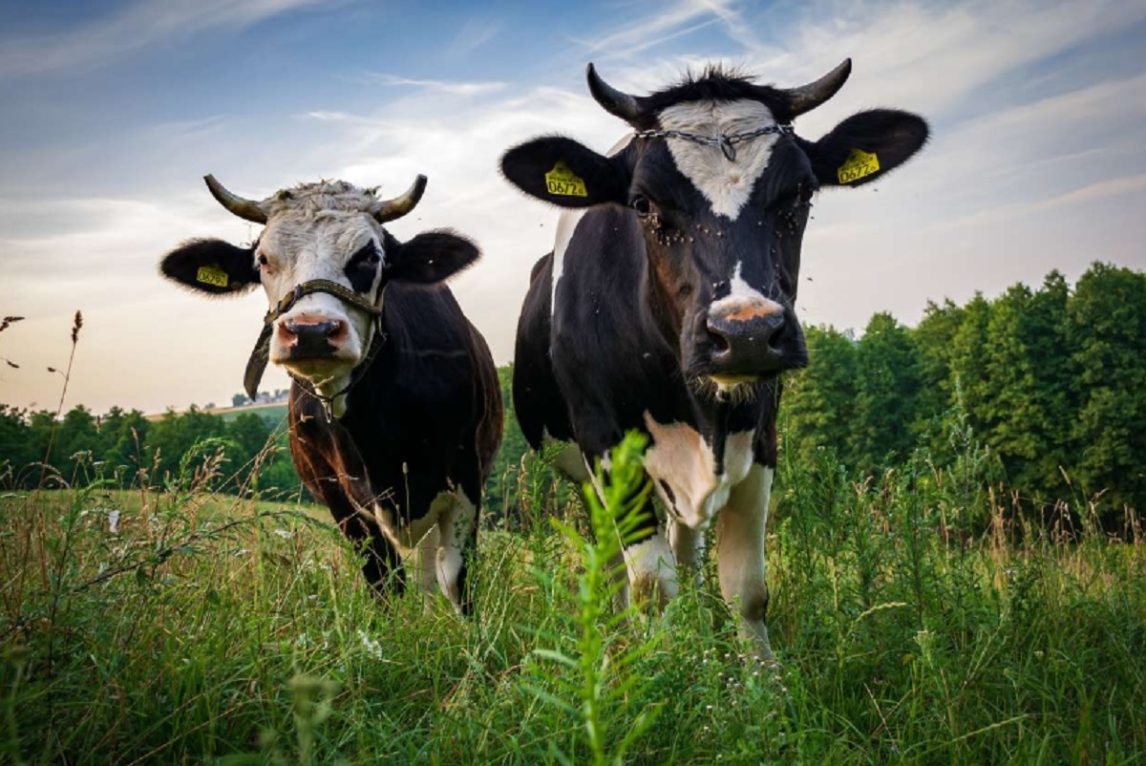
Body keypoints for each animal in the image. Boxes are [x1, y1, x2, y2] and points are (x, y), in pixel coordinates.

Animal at [158, 175, 502, 615]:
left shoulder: (465, 476)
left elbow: (457, 578)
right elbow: (383, 581)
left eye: (369, 256)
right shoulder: (339, 497)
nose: (311, 331)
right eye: (263, 259)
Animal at [501, 60, 928, 659]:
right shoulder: (605, 444)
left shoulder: (762, 437)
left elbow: (745, 588)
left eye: (800, 194)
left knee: (686, 548)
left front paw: (756, 676)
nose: (745, 332)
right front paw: (658, 669)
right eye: (643, 204)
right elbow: (651, 589)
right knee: (615, 567)